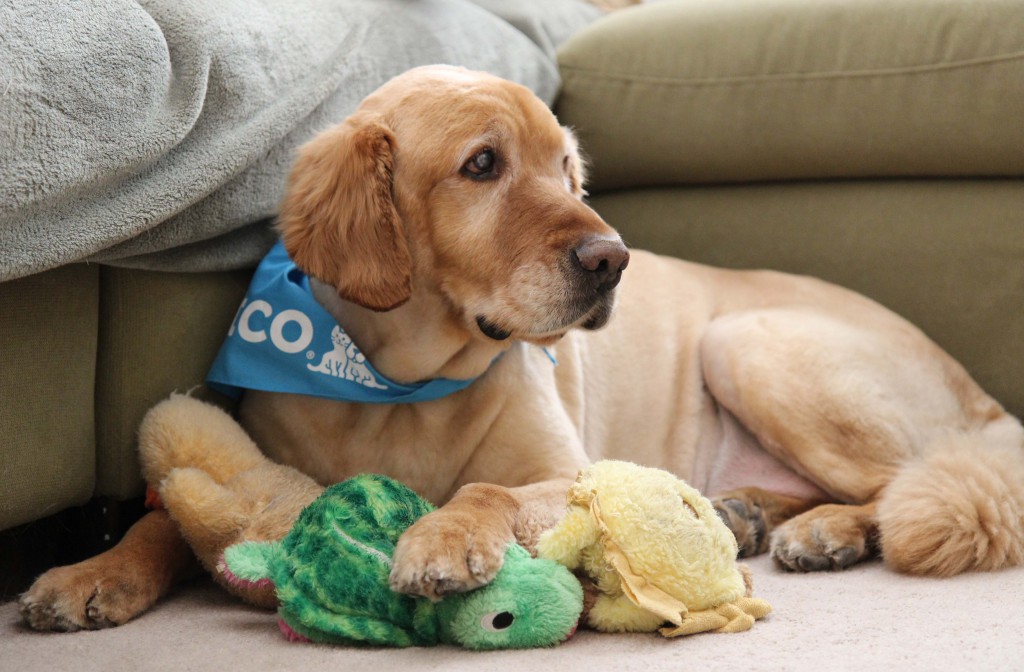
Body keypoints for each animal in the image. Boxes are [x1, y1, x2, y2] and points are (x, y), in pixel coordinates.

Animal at [22, 64, 1024, 631]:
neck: (400, 383)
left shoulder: (567, 470)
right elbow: (160, 520)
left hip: (746, 339)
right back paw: (744, 512)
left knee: (910, 483)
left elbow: (488, 487)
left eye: (568, 171)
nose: (613, 259)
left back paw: (825, 530)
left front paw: (440, 537)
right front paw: (85, 573)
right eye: (482, 165)